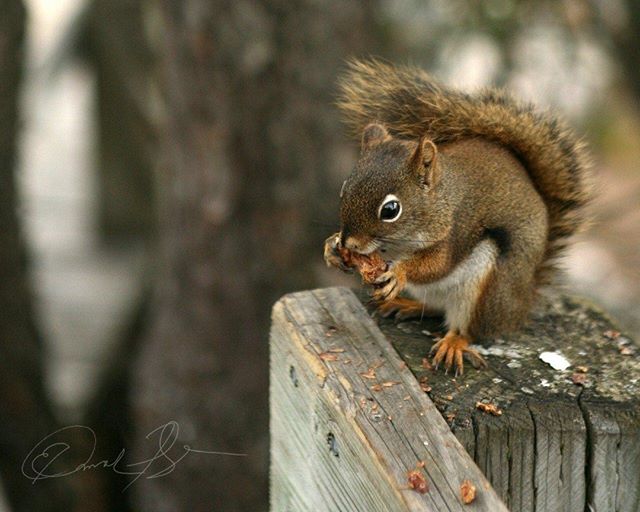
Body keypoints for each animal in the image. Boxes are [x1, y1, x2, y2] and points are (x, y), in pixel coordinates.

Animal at [324, 59, 592, 375]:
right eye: (344, 187)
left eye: (390, 210)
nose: (349, 243)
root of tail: (522, 302)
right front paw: (332, 248)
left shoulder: (459, 228)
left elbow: (438, 264)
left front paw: (398, 273)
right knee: (436, 308)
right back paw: (407, 305)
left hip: (486, 290)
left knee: (469, 328)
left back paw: (453, 343)